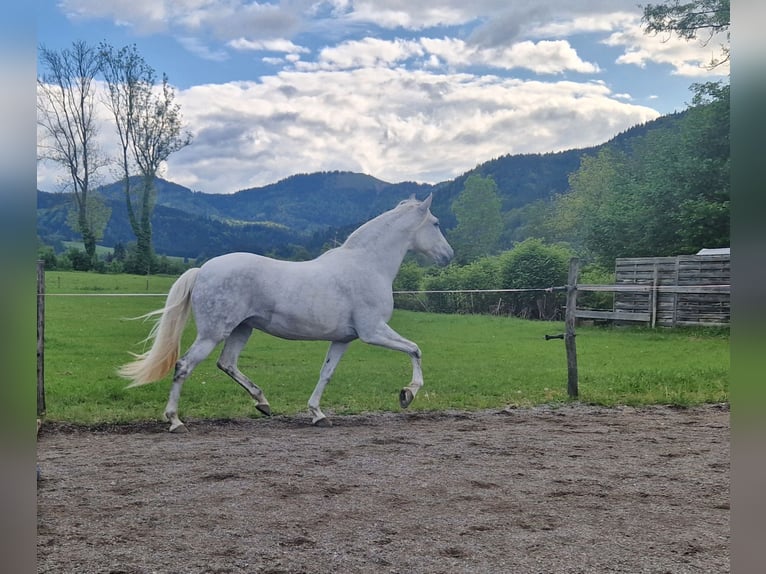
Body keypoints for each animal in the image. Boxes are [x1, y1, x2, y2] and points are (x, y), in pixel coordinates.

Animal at [119, 195, 452, 432]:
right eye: (436, 223)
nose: (448, 256)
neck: (367, 264)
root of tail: (202, 270)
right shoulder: (373, 331)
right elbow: (415, 350)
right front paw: (407, 394)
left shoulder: (344, 339)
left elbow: (326, 373)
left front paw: (318, 414)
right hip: (214, 332)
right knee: (184, 366)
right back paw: (175, 421)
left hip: (242, 329)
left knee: (227, 363)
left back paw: (263, 403)